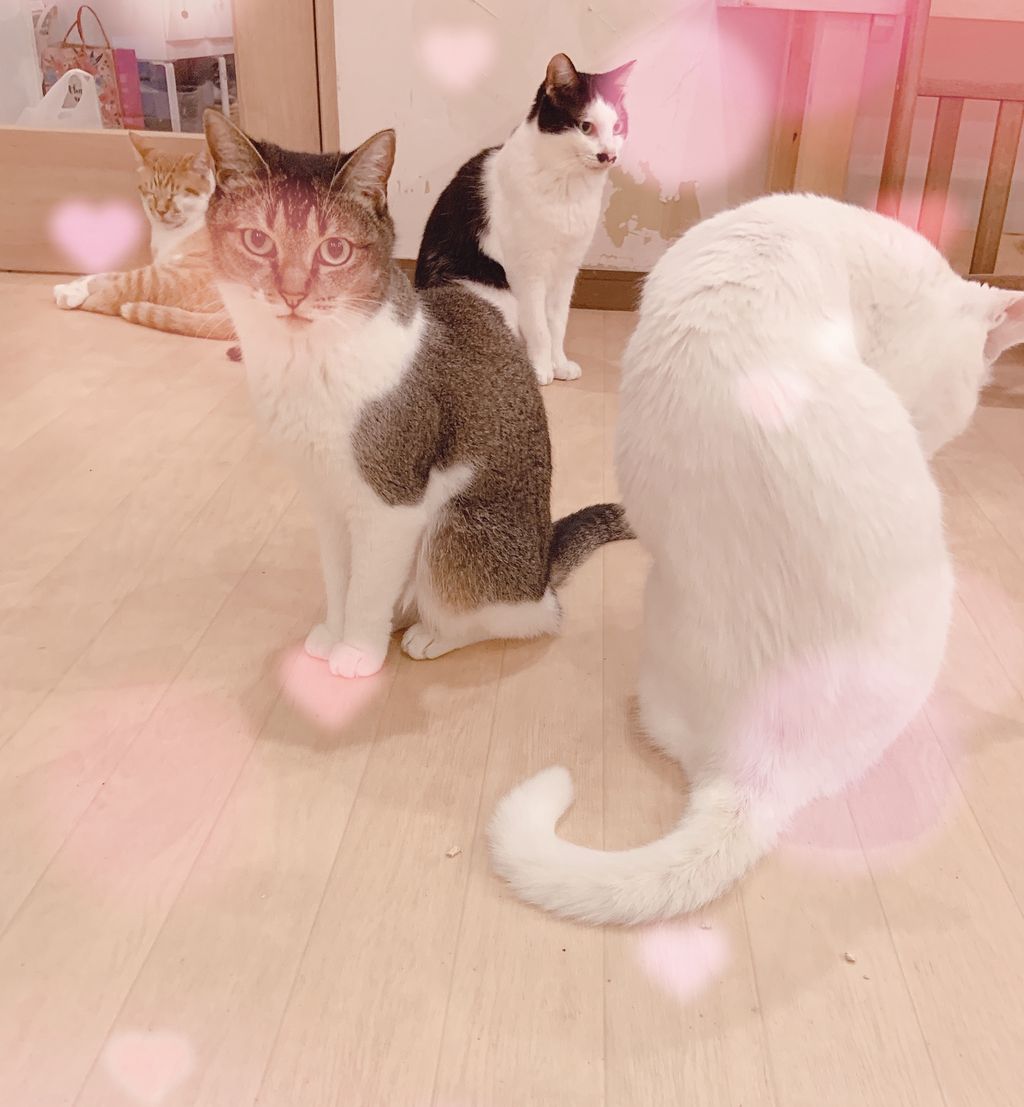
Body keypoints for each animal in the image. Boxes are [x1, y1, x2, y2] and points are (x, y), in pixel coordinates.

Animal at [53, 132, 235, 342]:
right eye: (151, 193)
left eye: (175, 195)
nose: (160, 210)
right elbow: (105, 274)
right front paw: (72, 285)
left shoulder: (170, 270)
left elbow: (116, 281)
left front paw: (71, 293)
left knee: (114, 295)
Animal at [201, 108, 633, 679]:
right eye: (257, 240)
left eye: (334, 249)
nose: (292, 294)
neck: (310, 364)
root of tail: (542, 564)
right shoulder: (326, 498)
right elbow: (340, 578)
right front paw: (334, 632)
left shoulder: (392, 503)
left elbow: (367, 589)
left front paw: (356, 653)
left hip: (459, 529)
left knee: (523, 616)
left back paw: (431, 633)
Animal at [415, 52, 634, 386]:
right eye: (585, 126)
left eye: (618, 125)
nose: (608, 155)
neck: (566, 187)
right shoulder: (527, 271)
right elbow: (539, 327)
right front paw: (542, 369)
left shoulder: (567, 269)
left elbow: (557, 323)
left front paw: (560, 364)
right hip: (490, 294)